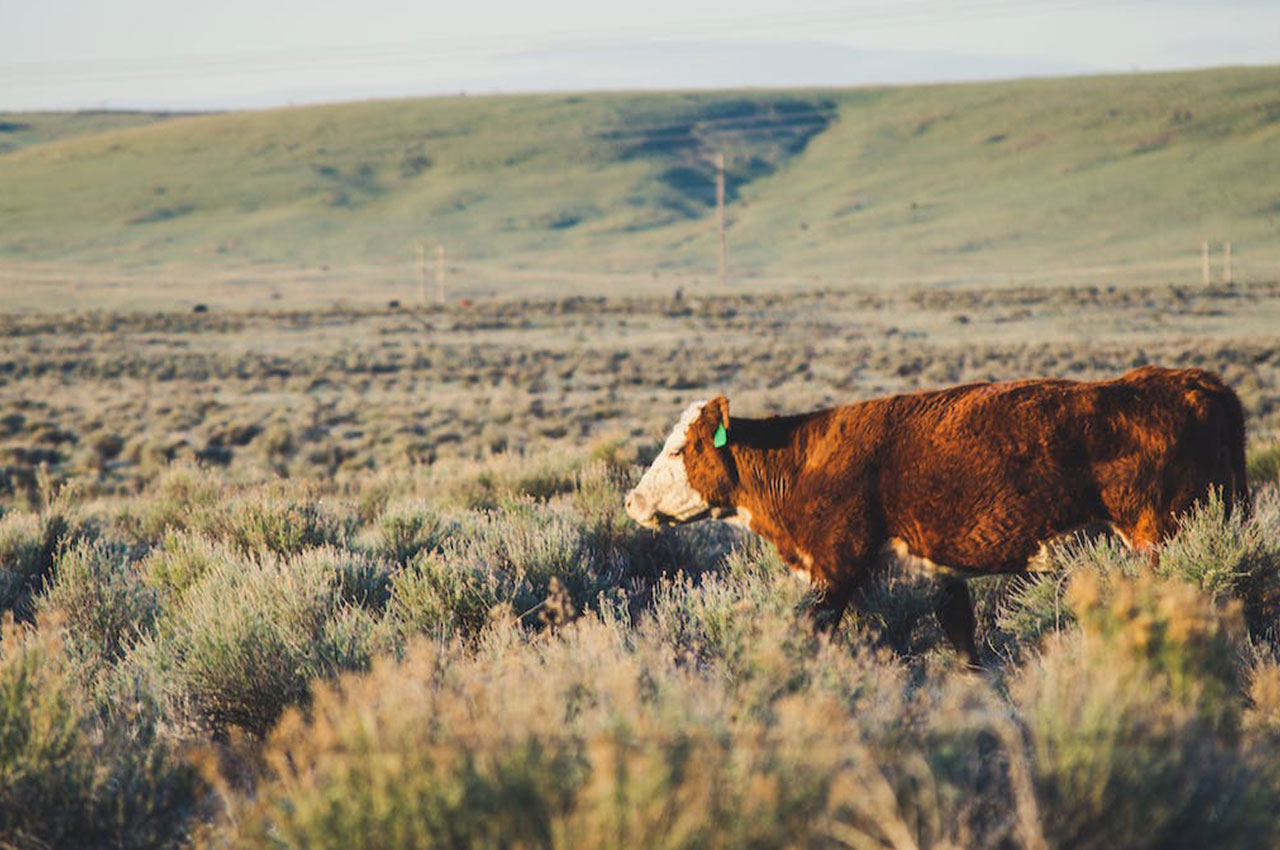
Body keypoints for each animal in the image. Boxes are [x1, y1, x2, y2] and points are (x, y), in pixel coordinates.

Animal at [624, 366, 1244, 665]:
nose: (631, 500)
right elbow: (962, 637)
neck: (802, 458)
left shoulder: (836, 564)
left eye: (679, 449)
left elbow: (812, 628)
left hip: (1161, 535)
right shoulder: (934, 568)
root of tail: (1197, 384)